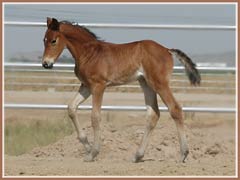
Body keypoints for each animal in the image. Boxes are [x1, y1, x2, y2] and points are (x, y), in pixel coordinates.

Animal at [41, 17, 201, 162]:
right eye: (44, 40)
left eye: (53, 41)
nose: (46, 64)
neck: (89, 53)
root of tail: (167, 50)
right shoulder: (86, 86)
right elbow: (71, 108)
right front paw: (87, 147)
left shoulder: (98, 86)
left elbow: (95, 116)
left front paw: (93, 153)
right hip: (146, 83)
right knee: (153, 114)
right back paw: (137, 155)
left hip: (159, 83)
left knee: (175, 109)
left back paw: (183, 154)